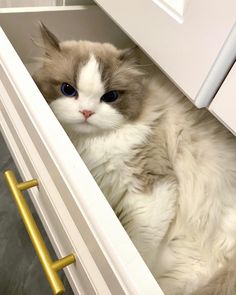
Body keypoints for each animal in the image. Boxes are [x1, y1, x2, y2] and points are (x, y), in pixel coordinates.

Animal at [32, 23, 236, 295]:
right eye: (68, 90)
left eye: (110, 97)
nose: (86, 112)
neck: (91, 142)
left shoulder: (151, 188)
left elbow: (140, 245)